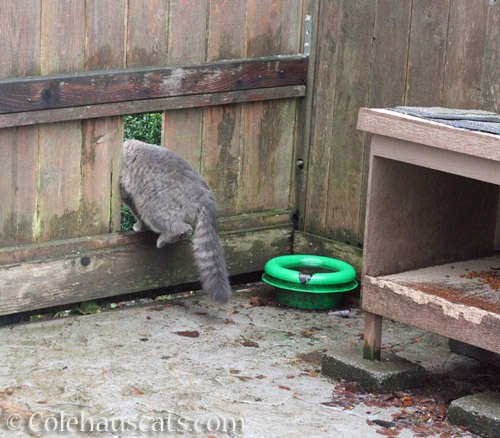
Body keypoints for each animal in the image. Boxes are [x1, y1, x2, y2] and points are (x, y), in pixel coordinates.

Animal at [120, 139, 231, 302]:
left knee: (182, 229)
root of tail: (206, 196)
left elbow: (137, 214)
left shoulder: (129, 196)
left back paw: (164, 238)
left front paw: (138, 226)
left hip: (152, 204)